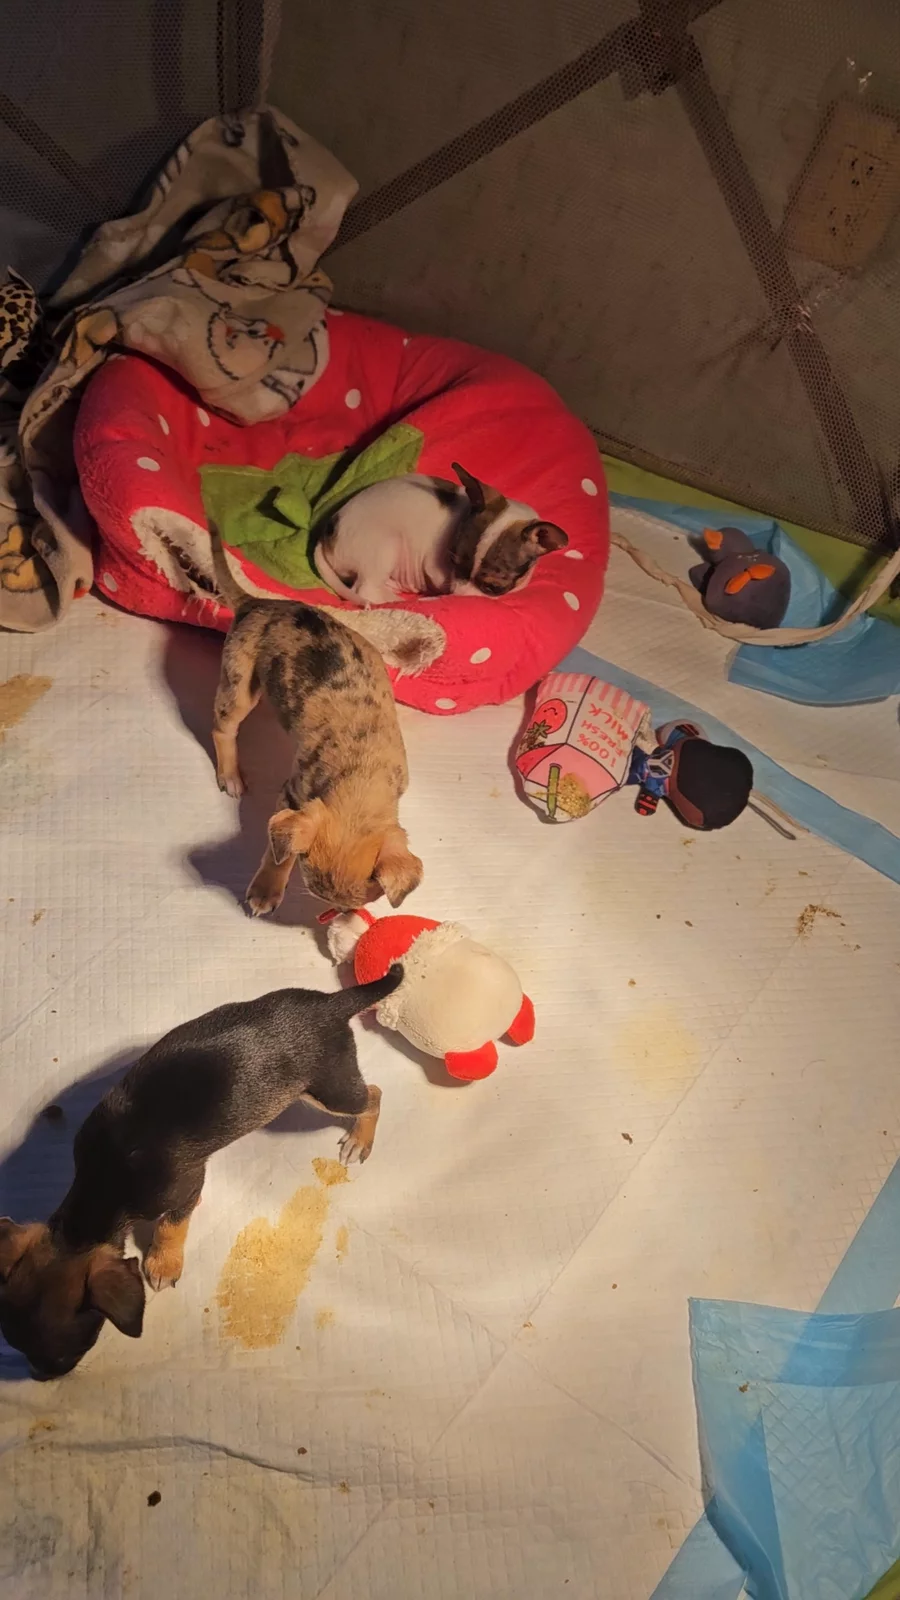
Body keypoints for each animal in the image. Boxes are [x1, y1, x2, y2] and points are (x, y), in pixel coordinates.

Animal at [0, 969, 401, 1379]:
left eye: (72, 1349)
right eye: (14, 1344)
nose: (41, 1378)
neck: (103, 1181)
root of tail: (332, 1003)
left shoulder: (184, 1187)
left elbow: (171, 1225)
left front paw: (163, 1263)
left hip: (328, 1089)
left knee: (373, 1094)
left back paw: (359, 1139)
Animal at [212, 598, 423, 916]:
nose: (342, 916)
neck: (363, 772)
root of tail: (257, 602)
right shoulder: (291, 796)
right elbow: (280, 855)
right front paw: (265, 892)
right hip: (239, 682)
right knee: (222, 728)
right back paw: (230, 776)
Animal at [313, 462, 568, 606]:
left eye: (493, 588)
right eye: (454, 563)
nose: (455, 599)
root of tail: (327, 536)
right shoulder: (435, 569)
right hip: (387, 545)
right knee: (365, 589)